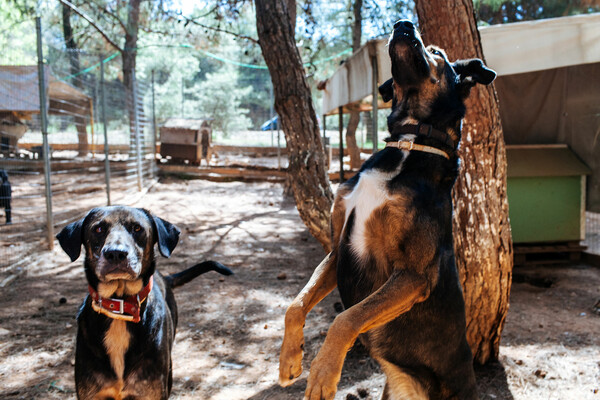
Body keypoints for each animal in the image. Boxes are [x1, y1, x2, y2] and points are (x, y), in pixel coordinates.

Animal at [57, 206, 232, 400]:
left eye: (137, 228)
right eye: (98, 229)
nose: (116, 253)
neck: (120, 306)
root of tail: (165, 277)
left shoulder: (151, 393)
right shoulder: (91, 394)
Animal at [278, 19, 494, 400]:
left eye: (437, 53)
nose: (402, 25)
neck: (410, 144)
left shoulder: (413, 275)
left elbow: (345, 318)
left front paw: (322, 374)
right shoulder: (337, 251)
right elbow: (296, 305)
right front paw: (289, 361)